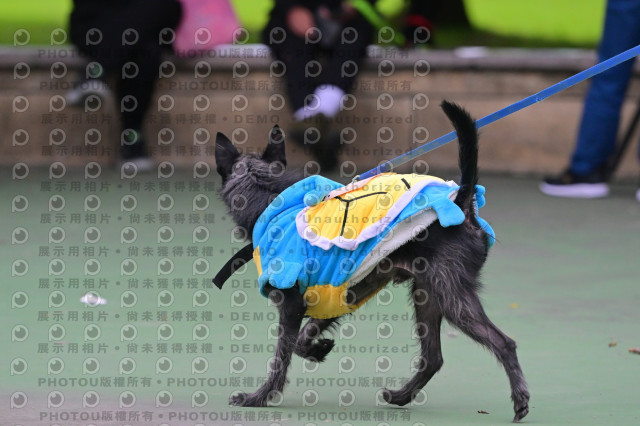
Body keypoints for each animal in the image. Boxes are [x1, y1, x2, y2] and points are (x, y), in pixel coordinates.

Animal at [214, 101, 530, 422]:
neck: (269, 198)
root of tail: (461, 205)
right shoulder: (337, 292)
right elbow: (305, 337)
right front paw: (318, 348)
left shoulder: (291, 304)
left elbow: (281, 357)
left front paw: (260, 397)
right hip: (427, 294)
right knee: (433, 358)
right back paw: (401, 396)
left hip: (452, 300)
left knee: (503, 343)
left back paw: (520, 400)